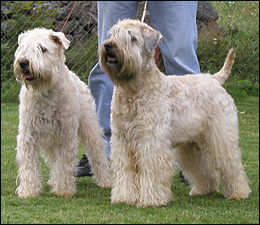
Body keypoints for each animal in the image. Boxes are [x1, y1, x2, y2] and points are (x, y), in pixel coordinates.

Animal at [13, 27, 110, 198]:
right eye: (23, 48)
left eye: (42, 48)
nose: (23, 62)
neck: (46, 93)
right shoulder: (28, 134)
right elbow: (29, 164)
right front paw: (29, 190)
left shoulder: (66, 134)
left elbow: (64, 163)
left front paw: (64, 190)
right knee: (53, 160)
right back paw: (53, 181)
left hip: (89, 127)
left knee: (97, 153)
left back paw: (105, 180)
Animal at [99, 19, 250, 207]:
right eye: (113, 34)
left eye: (132, 38)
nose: (109, 46)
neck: (133, 90)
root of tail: (214, 79)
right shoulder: (122, 142)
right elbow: (125, 171)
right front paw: (123, 197)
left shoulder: (150, 141)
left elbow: (151, 171)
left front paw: (150, 200)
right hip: (192, 144)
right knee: (203, 167)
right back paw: (203, 189)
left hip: (220, 136)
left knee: (231, 165)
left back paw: (238, 192)